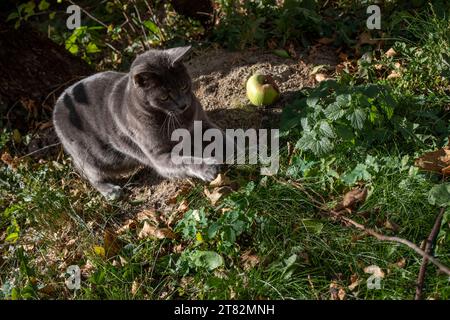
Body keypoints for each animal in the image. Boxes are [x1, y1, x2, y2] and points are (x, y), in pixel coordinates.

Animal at [52, 46, 220, 199]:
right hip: (90, 156)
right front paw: (208, 168)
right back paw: (110, 190)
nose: (183, 105)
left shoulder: (203, 124)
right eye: (164, 97)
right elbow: (185, 160)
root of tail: (58, 103)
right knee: (90, 174)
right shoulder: (158, 156)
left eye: (184, 86)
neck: (173, 118)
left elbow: (218, 136)